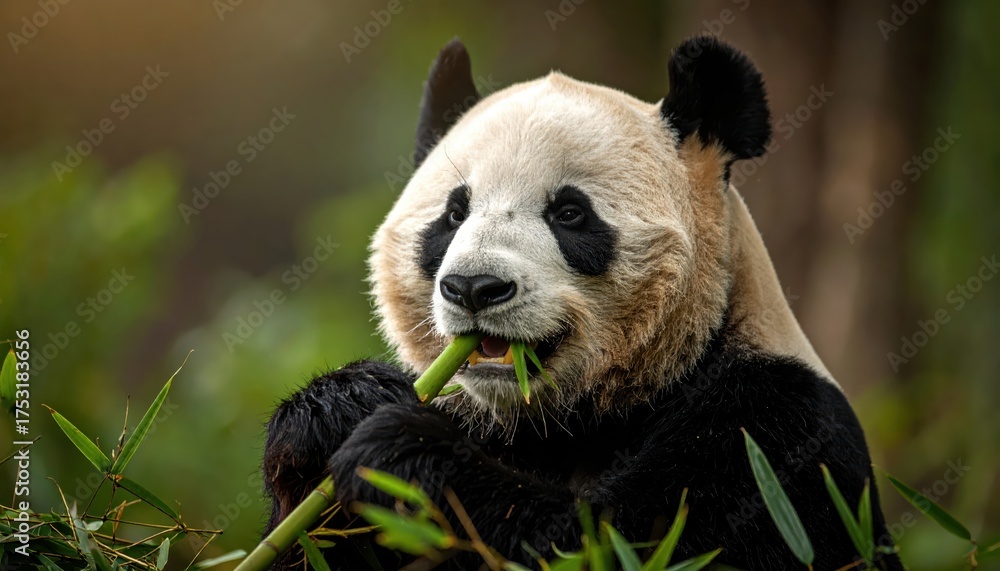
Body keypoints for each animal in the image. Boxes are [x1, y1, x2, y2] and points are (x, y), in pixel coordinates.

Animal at [262, 36, 904, 570]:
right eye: (453, 214)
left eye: (569, 213)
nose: (474, 288)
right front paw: (337, 410)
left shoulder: (775, 438)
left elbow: (611, 542)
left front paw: (404, 455)